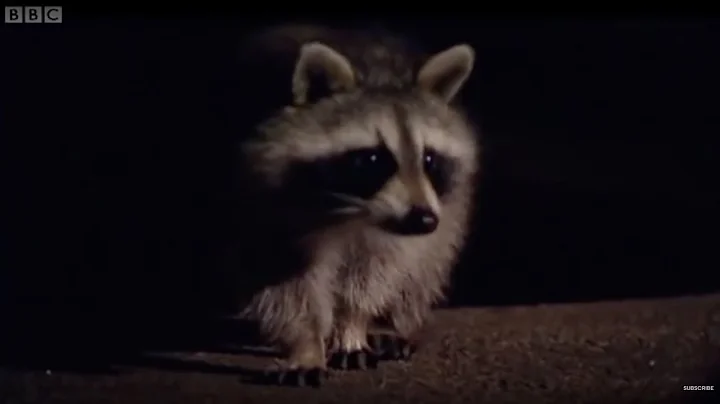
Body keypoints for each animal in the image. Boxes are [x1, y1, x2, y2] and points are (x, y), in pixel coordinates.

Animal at [232, 24, 480, 387]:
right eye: (373, 159)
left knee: (428, 261)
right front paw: (306, 343)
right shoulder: (263, 201)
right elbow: (285, 279)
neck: (353, 213)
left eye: (429, 159)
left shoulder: (405, 224)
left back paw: (396, 323)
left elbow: (375, 272)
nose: (424, 220)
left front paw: (352, 326)